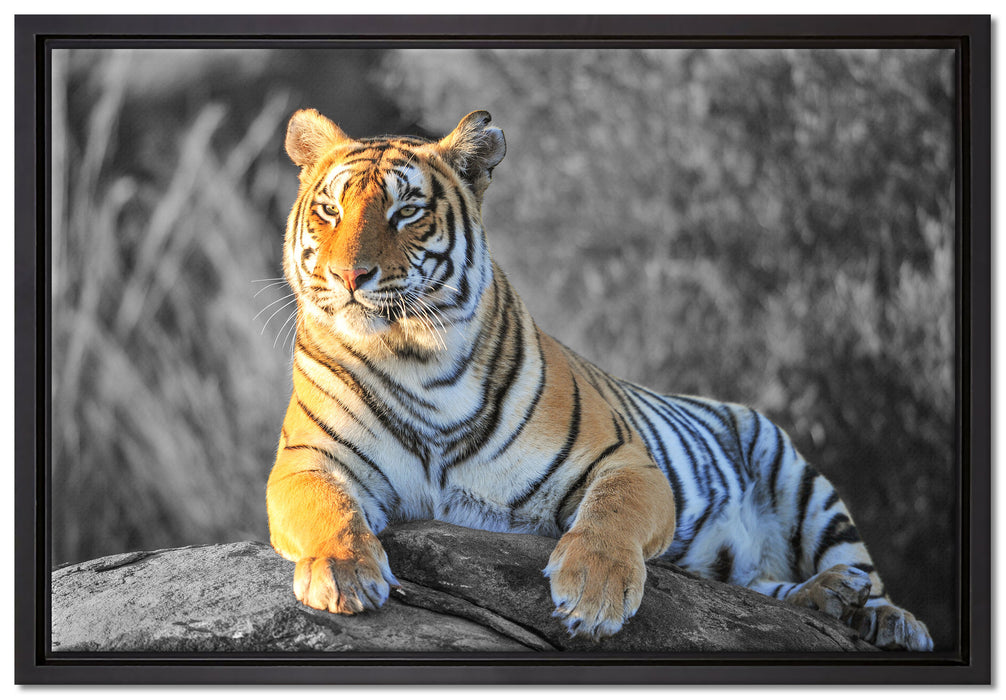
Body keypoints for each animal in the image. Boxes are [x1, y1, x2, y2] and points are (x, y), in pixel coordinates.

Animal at [265, 107, 933, 651]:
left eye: (406, 211)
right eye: (329, 211)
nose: (349, 276)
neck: (415, 358)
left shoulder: (625, 461)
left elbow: (612, 514)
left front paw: (593, 592)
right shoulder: (306, 463)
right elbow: (328, 509)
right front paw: (344, 573)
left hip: (801, 480)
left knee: (859, 569)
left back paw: (885, 616)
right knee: (763, 587)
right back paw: (828, 597)